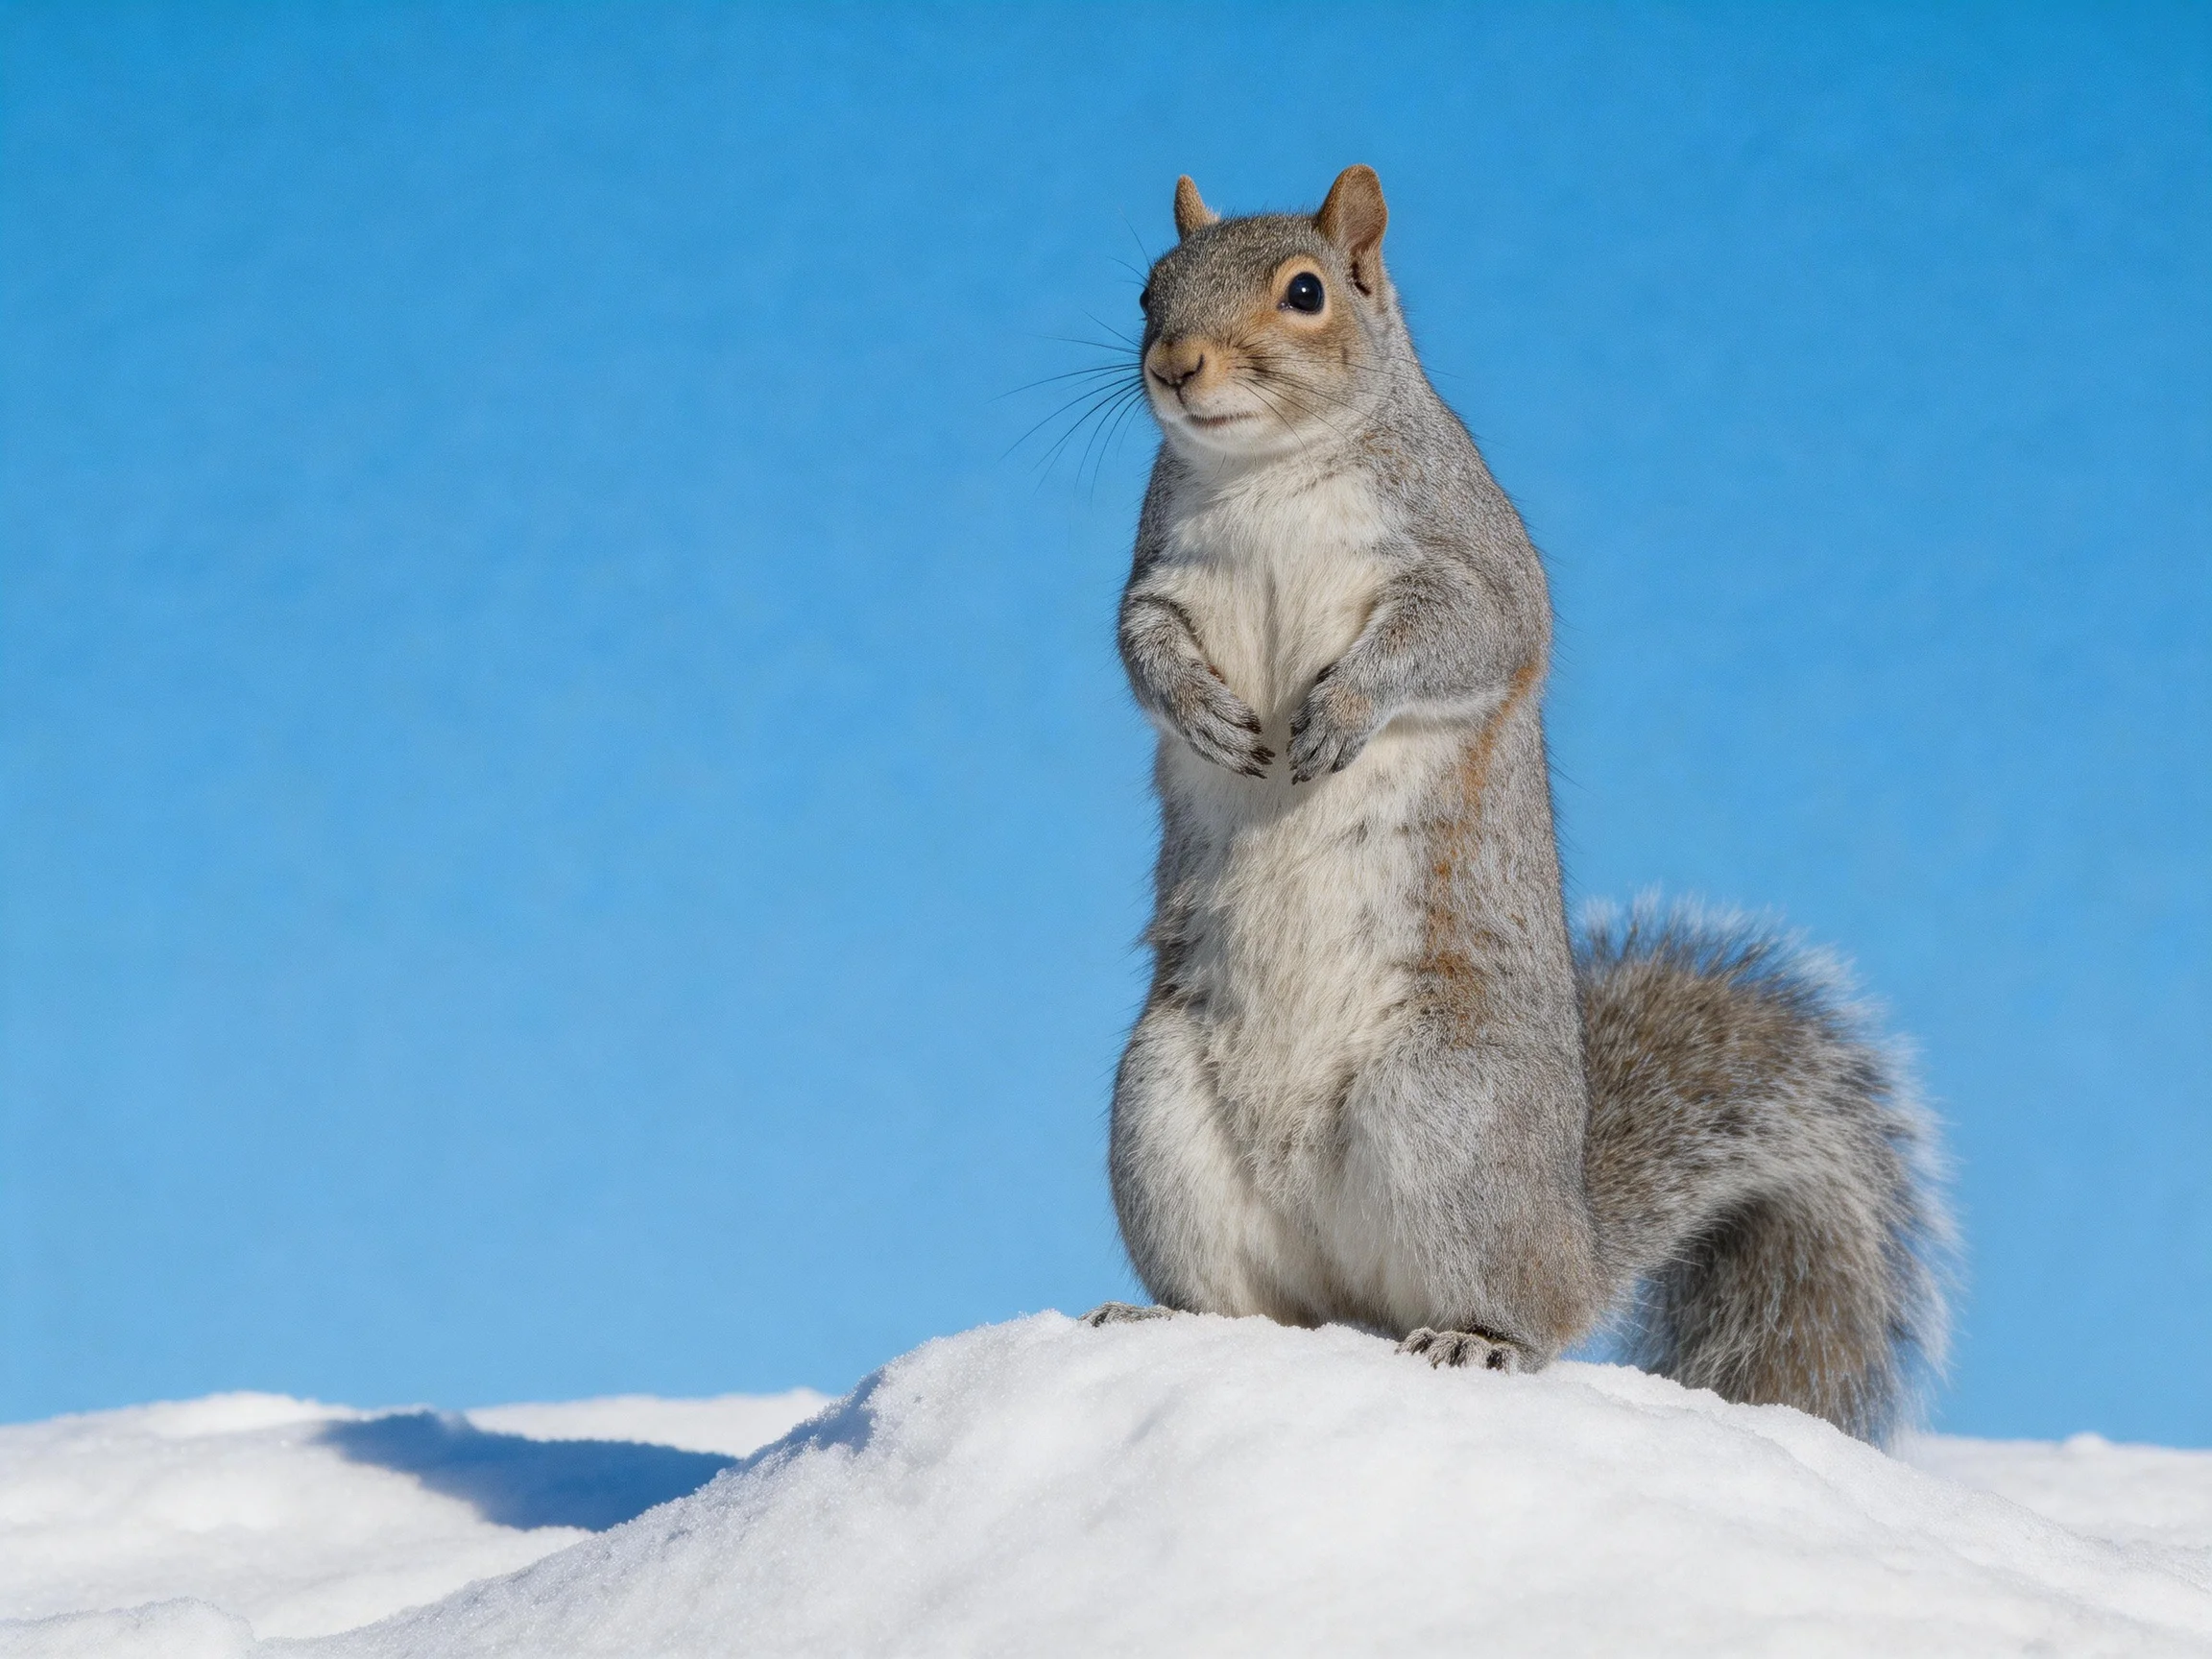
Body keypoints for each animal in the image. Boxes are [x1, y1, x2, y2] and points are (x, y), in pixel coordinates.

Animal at [1085, 166, 1951, 1445]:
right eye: (1148, 289)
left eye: (1306, 292)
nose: (1176, 364)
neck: (1265, 474)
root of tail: (1572, 1242)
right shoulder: (1157, 578)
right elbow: (1142, 648)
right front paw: (1202, 712)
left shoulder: (1472, 562)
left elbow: (1464, 638)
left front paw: (1342, 712)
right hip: (1162, 1125)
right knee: (1254, 1302)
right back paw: (1165, 1318)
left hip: (1451, 1122)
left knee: (1520, 1318)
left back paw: (1477, 1338)